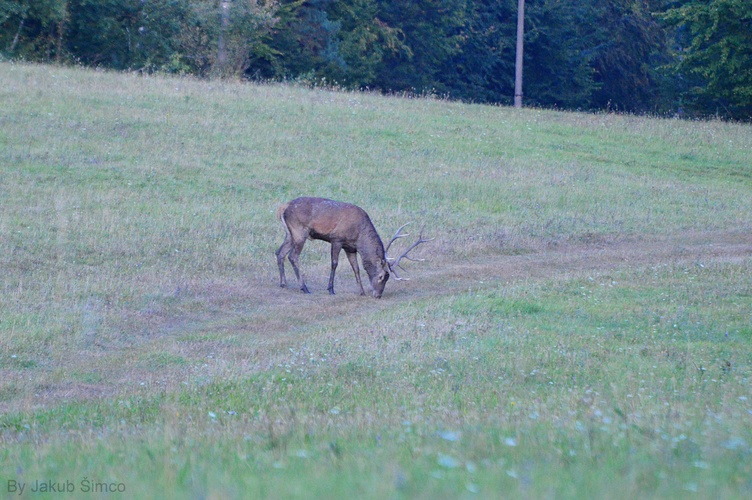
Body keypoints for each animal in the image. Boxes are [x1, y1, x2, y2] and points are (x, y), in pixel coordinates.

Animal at [276, 197, 432, 298]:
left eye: (387, 278)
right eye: (381, 276)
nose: (378, 295)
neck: (359, 237)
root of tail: (283, 207)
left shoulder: (350, 247)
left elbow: (356, 268)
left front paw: (361, 292)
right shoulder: (337, 239)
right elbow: (334, 264)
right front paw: (331, 289)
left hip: (289, 233)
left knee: (279, 252)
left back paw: (283, 284)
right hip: (299, 230)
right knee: (293, 256)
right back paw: (304, 287)